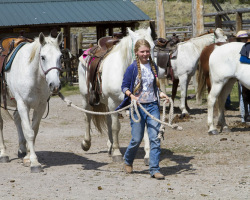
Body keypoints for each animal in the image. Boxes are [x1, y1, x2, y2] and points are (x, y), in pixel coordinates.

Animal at [0, 32, 63, 172]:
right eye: (43, 57)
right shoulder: (23, 105)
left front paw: (28, 158)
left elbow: (34, 131)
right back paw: (3, 154)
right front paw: (34, 163)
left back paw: (21, 150)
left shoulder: (41, 106)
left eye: (60, 57)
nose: (55, 85)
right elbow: (29, 132)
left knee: (16, 118)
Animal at [78, 27, 154, 162]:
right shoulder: (113, 102)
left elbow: (145, 126)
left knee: (108, 120)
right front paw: (117, 153)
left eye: (154, 46)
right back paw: (86, 143)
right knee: (87, 117)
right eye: (140, 50)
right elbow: (116, 127)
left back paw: (110, 146)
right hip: (86, 98)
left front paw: (148, 155)